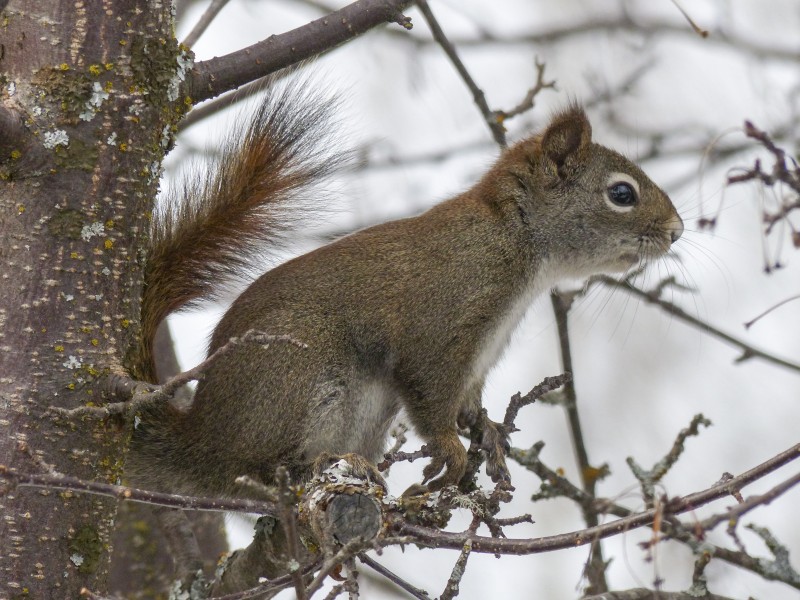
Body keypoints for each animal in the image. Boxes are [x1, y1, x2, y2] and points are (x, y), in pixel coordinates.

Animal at [125, 84, 680, 496]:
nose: (676, 231)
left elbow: (469, 402)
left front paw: (486, 431)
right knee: (256, 467)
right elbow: (431, 394)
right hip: (297, 371)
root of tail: (202, 440)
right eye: (622, 194)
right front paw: (451, 449)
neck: (514, 239)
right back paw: (321, 465)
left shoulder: (479, 354)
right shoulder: (441, 326)